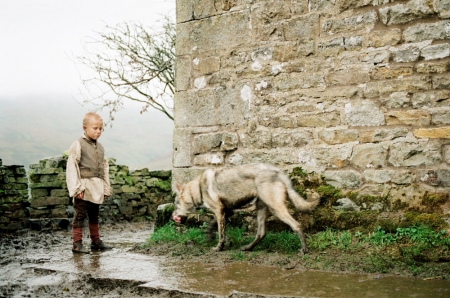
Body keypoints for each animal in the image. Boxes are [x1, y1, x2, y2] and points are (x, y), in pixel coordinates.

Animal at [172, 163, 324, 254]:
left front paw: (219, 247)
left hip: (277, 209)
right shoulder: (227, 211)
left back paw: (304, 249)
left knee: (297, 226)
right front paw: (212, 237)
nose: (172, 216)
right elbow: (213, 226)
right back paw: (248, 248)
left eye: (175, 203)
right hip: (261, 209)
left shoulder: (219, 211)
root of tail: (277, 171)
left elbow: (221, 233)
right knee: (261, 233)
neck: (197, 188)